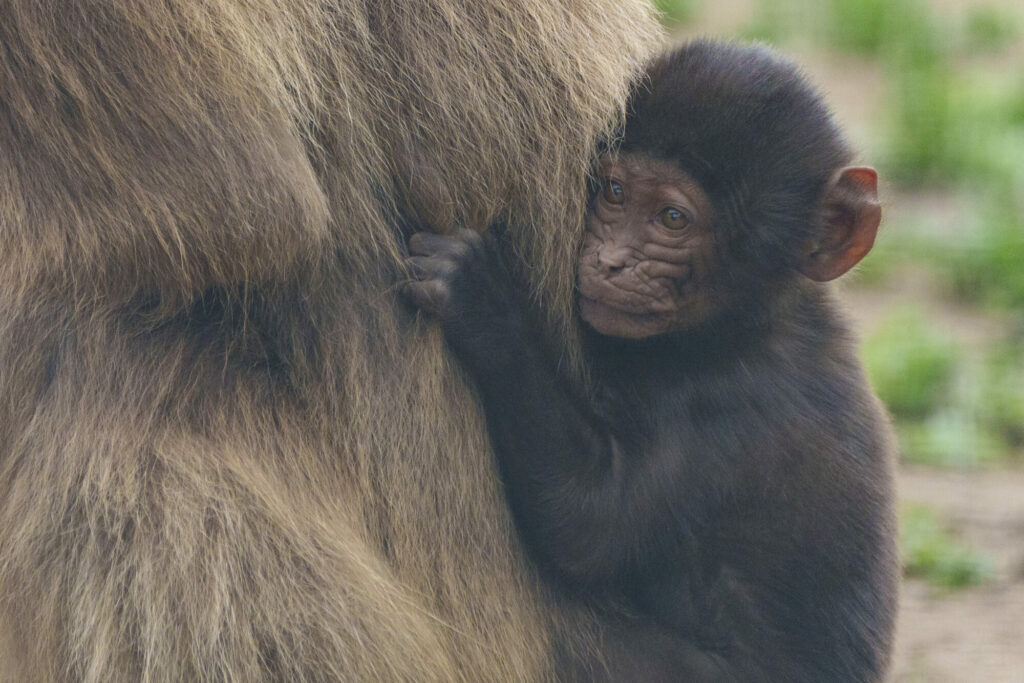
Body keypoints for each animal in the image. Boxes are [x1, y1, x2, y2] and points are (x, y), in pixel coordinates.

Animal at [405, 40, 899, 681]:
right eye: (614, 192)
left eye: (672, 218)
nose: (611, 261)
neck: (743, 329)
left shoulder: (721, 413)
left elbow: (587, 525)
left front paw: (484, 304)